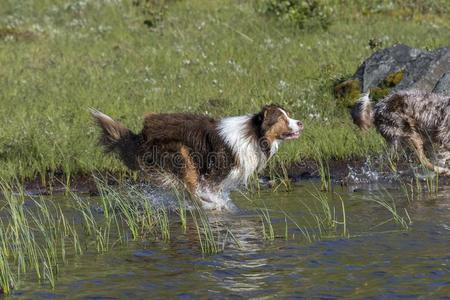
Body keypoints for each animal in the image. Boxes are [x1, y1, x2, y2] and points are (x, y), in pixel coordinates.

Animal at [91, 105, 302, 211]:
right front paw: (218, 205)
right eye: (282, 119)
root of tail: (142, 134)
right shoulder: (214, 176)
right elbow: (208, 190)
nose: (300, 122)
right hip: (182, 154)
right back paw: (208, 205)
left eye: (288, 116)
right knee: (191, 191)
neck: (254, 134)